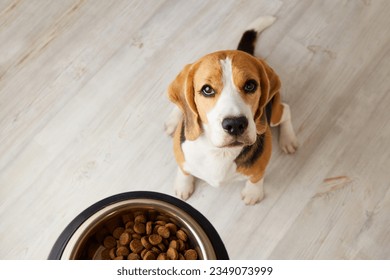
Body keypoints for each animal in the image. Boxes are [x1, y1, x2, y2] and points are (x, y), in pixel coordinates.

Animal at [165, 17, 298, 206]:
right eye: (207, 89)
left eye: (250, 85)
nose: (235, 125)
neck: (219, 151)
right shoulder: (182, 154)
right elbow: (184, 169)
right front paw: (183, 185)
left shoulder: (261, 165)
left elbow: (256, 178)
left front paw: (253, 193)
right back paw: (173, 119)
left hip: (273, 114)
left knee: (285, 110)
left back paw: (288, 140)